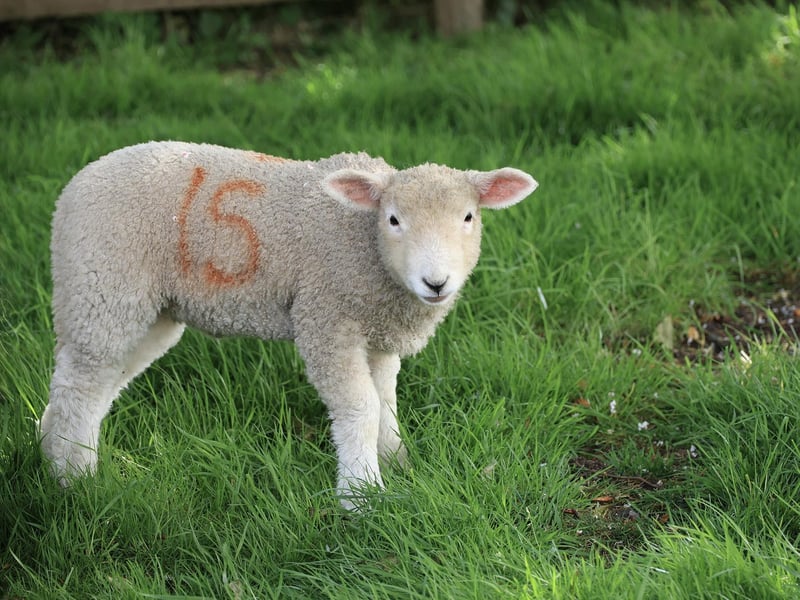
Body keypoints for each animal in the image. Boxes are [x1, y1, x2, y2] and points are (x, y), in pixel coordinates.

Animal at [39, 141, 538, 507]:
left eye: (468, 217)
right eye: (394, 219)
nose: (436, 282)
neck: (365, 245)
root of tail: (75, 187)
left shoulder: (376, 330)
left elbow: (386, 400)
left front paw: (396, 463)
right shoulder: (327, 318)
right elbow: (361, 406)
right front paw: (361, 494)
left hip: (145, 310)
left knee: (96, 384)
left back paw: (53, 455)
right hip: (104, 285)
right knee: (79, 387)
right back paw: (74, 479)